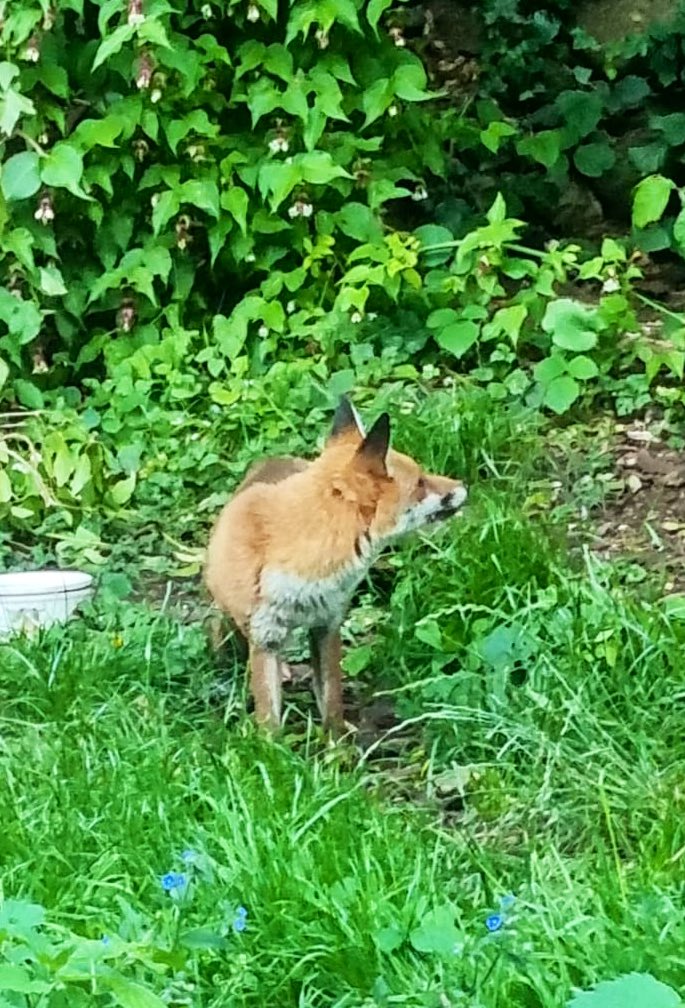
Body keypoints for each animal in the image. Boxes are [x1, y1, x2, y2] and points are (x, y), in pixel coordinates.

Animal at [204, 396, 467, 735]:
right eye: (420, 481)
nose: (463, 485)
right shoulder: (265, 637)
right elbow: (269, 720)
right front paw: (271, 746)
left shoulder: (327, 623)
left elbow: (331, 702)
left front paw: (336, 745)